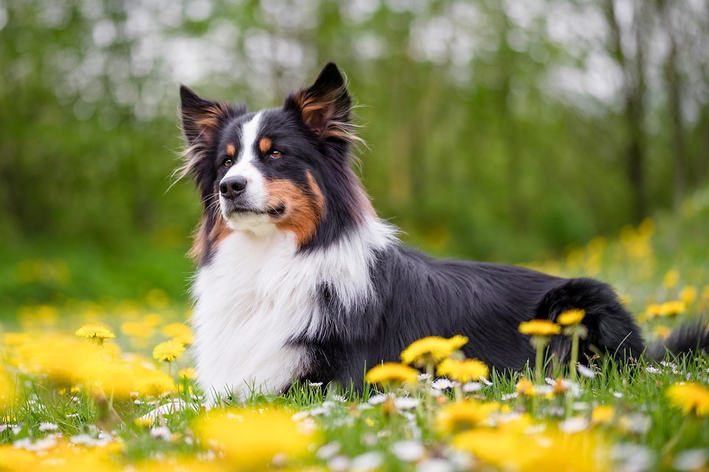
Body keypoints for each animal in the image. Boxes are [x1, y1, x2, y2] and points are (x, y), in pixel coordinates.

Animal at [178, 62, 708, 402]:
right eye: (226, 161)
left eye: (275, 154)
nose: (229, 187)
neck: (272, 260)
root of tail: (646, 353)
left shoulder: (325, 385)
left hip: (576, 301)